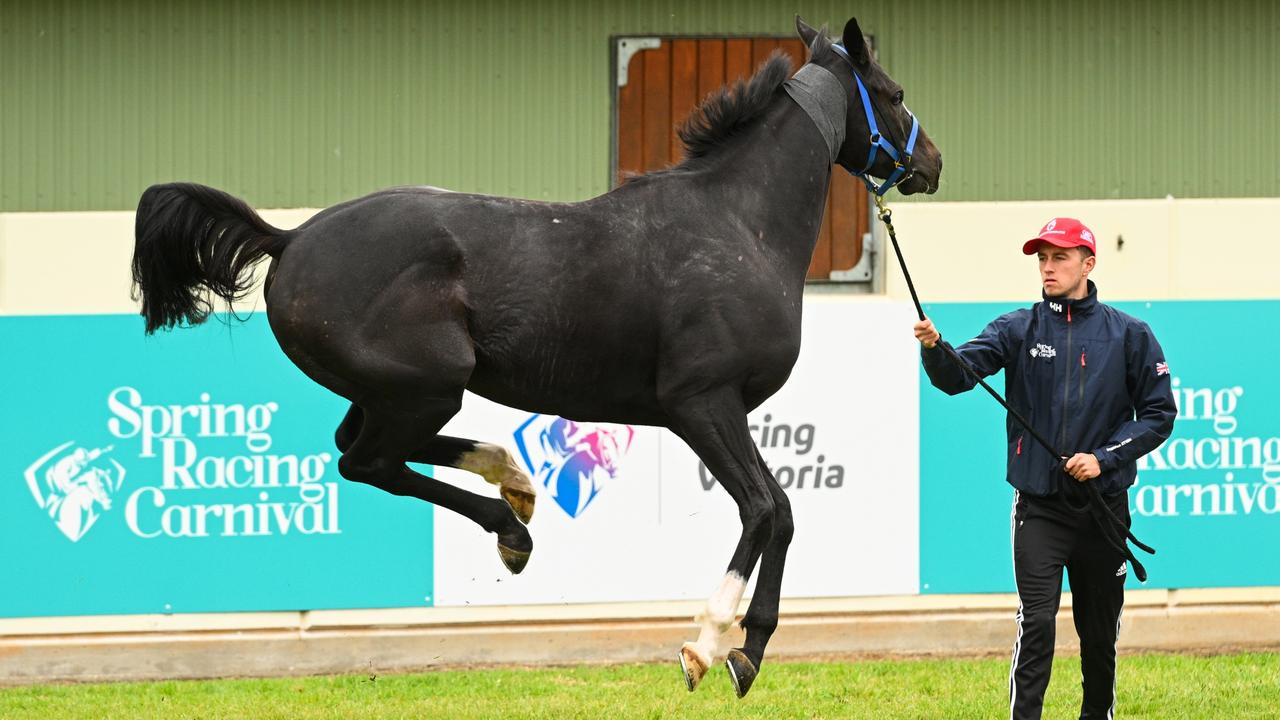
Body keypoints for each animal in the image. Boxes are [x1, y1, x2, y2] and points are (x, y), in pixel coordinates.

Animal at [129, 15, 942, 696]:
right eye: (895, 94)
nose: (931, 162)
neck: (739, 226)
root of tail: (289, 238)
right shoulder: (704, 405)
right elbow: (767, 509)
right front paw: (712, 647)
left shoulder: (717, 412)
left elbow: (781, 512)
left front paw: (747, 649)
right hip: (427, 387)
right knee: (368, 462)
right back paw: (512, 528)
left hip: (395, 391)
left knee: (365, 450)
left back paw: (514, 486)